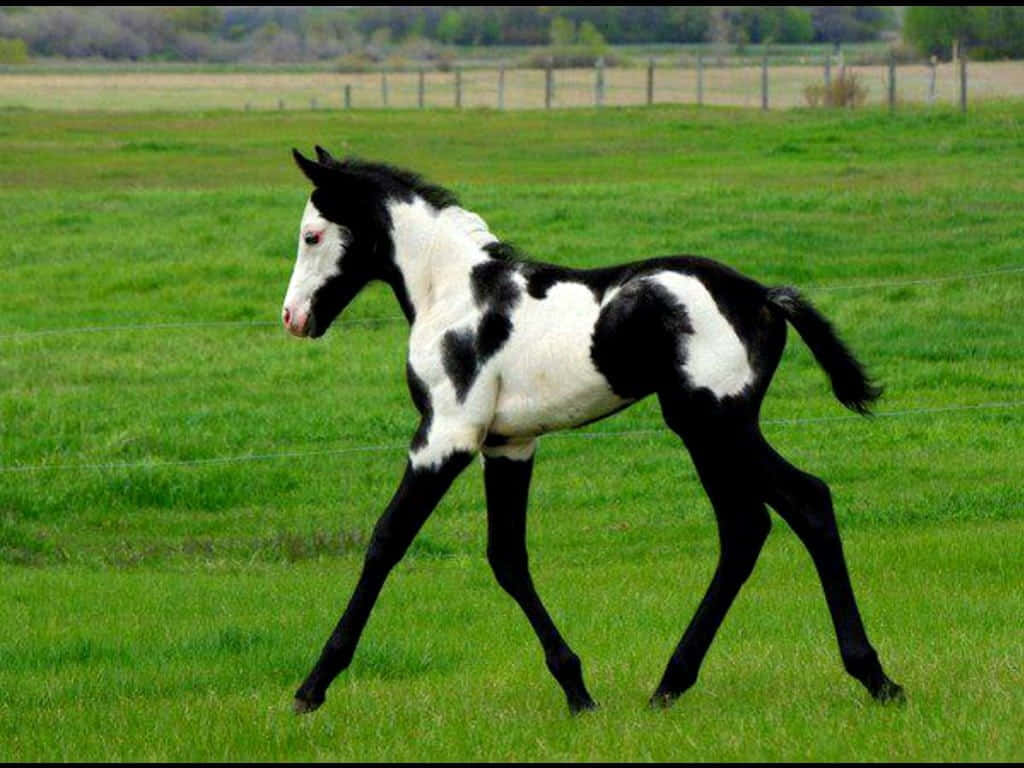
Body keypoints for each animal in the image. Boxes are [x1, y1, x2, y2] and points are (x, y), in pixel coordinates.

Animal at [282, 146, 904, 715]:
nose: (293, 318)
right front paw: (576, 689)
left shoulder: (445, 438)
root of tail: (763, 297)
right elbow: (507, 558)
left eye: (312, 235)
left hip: (715, 425)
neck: (457, 295)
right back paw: (673, 683)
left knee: (802, 503)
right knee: (750, 528)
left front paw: (312, 687)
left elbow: (386, 541)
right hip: (709, 433)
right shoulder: (508, 445)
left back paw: (872, 677)